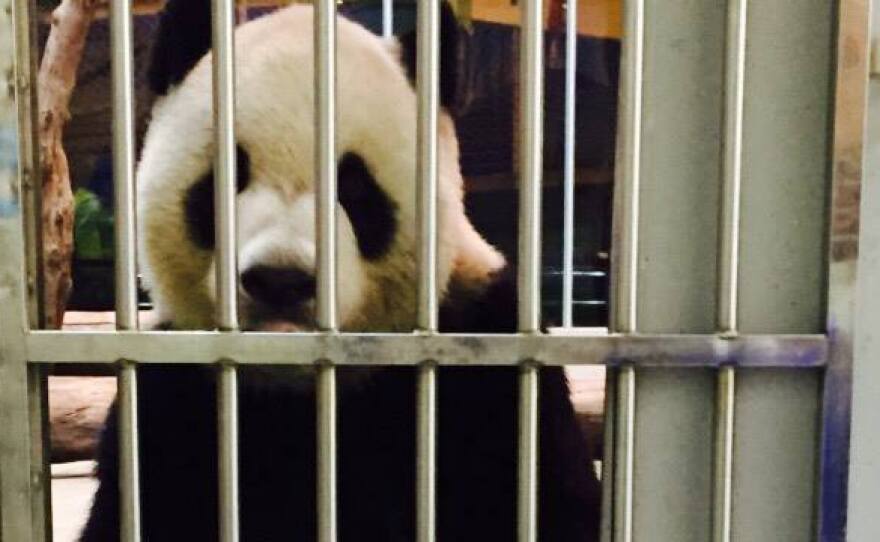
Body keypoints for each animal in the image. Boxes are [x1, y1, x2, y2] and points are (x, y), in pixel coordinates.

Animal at [79, 1, 602, 540]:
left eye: (354, 187)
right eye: (226, 180)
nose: (280, 280)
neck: (300, 384)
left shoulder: (487, 353)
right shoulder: (169, 393)